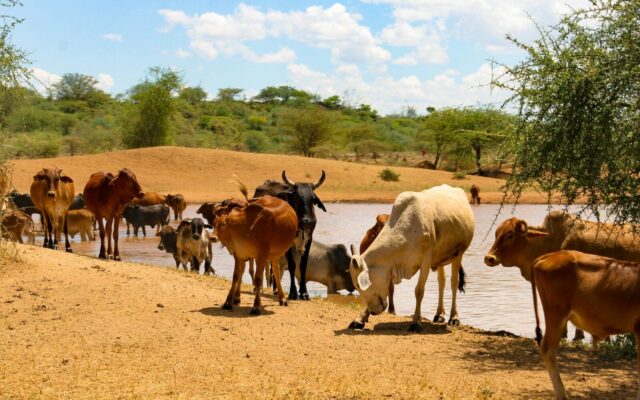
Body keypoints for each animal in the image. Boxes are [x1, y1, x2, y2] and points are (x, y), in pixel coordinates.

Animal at [253, 170, 326, 300]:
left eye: (313, 199)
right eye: (296, 198)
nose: (306, 221)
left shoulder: (309, 240)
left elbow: (303, 265)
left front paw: (304, 293)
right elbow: (292, 265)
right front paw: (293, 293)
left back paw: (276, 290)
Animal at [348, 184, 474, 331]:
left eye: (358, 284)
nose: (374, 312)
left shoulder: (425, 261)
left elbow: (419, 291)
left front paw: (416, 322)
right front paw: (360, 319)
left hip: (458, 254)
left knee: (454, 282)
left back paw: (454, 317)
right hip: (440, 259)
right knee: (441, 282)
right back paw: (439, 314)